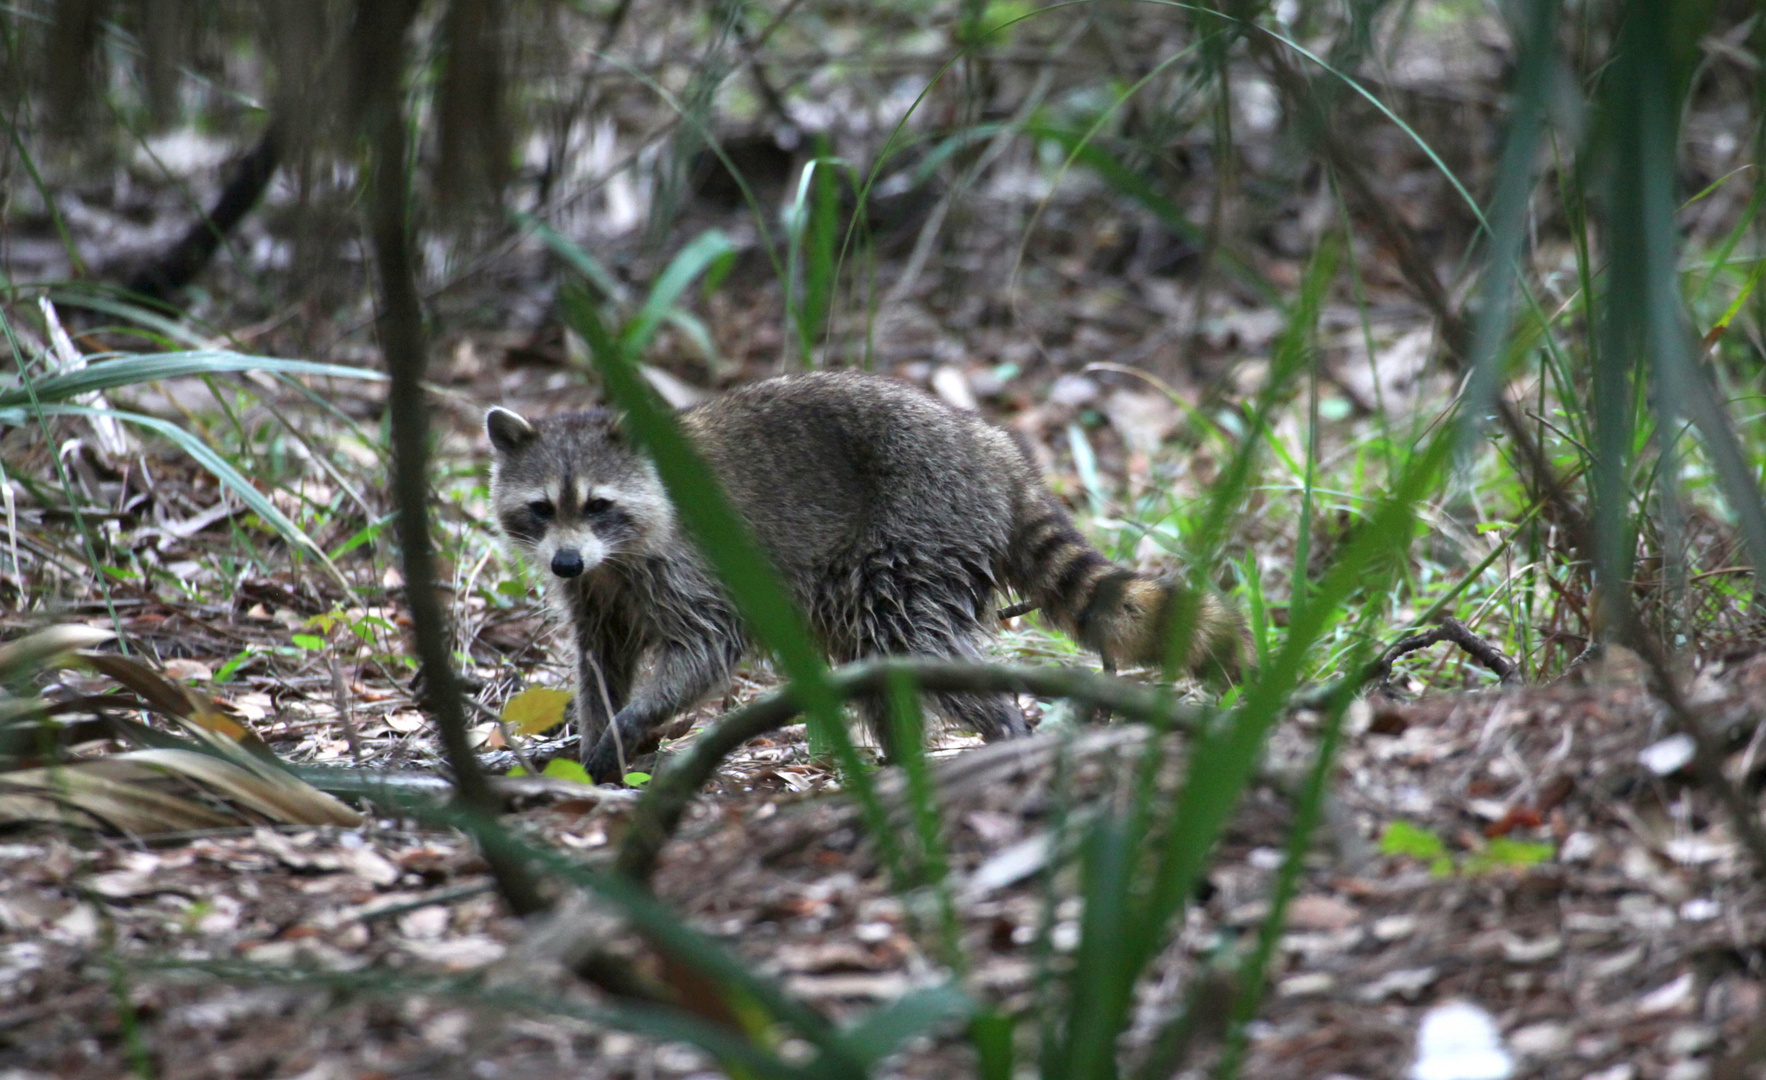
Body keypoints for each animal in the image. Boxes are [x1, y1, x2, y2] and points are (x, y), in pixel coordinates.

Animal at [483, 370, 1243, 783]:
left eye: (598, 506)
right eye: (542, 509)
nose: (565, 560)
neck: (612, 558)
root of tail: (994, 450)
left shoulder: (689, 564)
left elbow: (708, 646)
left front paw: (636, 720)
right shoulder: (597, 593)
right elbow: (599, 660)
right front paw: (596, 743)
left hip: (921, 523)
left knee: (912, 642)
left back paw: (1001, 731)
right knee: (876, 660)